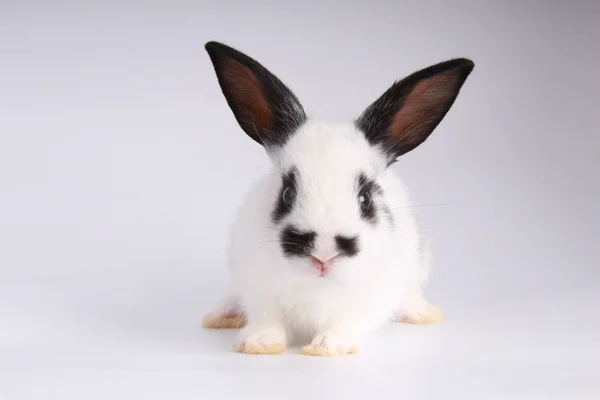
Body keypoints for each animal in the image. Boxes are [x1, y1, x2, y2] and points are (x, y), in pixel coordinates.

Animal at [202, 40, 474, 356]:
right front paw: (259, 343)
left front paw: (326, 347)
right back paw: (222, 315)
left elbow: (349, 323)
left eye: (365, 198)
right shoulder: (258, 287)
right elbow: (267, 318)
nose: (323, 253)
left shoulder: (370, 298)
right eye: (287, 193)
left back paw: (422, 313)